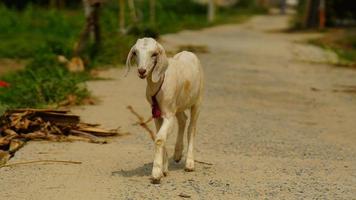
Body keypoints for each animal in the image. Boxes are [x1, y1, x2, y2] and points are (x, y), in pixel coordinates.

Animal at [126, 38, 204, 184]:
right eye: (135, 52)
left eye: (154, 54)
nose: (142, 71)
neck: (159, 82)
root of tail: (189, 52)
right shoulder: (157, 113)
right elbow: (161, 136)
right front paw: (164, 168)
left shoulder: (168, 114)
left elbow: (159, 139)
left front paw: (156, 173)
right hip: (178, 105)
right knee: (183, 120)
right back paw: (178, 154)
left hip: (197, 100)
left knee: (192, 128)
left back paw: (189, 164)